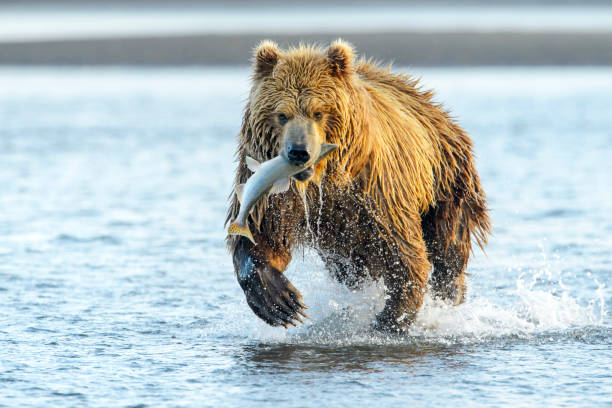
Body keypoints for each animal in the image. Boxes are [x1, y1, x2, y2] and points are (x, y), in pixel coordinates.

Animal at [227, 39, 490, 332]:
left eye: (319, 112)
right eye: (281, 114)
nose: (299, 152)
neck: (323, 179)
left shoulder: (377, 190)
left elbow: (402, 250)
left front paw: (390, 318)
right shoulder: (275, 195)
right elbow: (263, 236)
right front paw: (281, 301)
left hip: (446, 178)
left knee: (450, 241)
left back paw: (449, 291)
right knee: (350, 268)